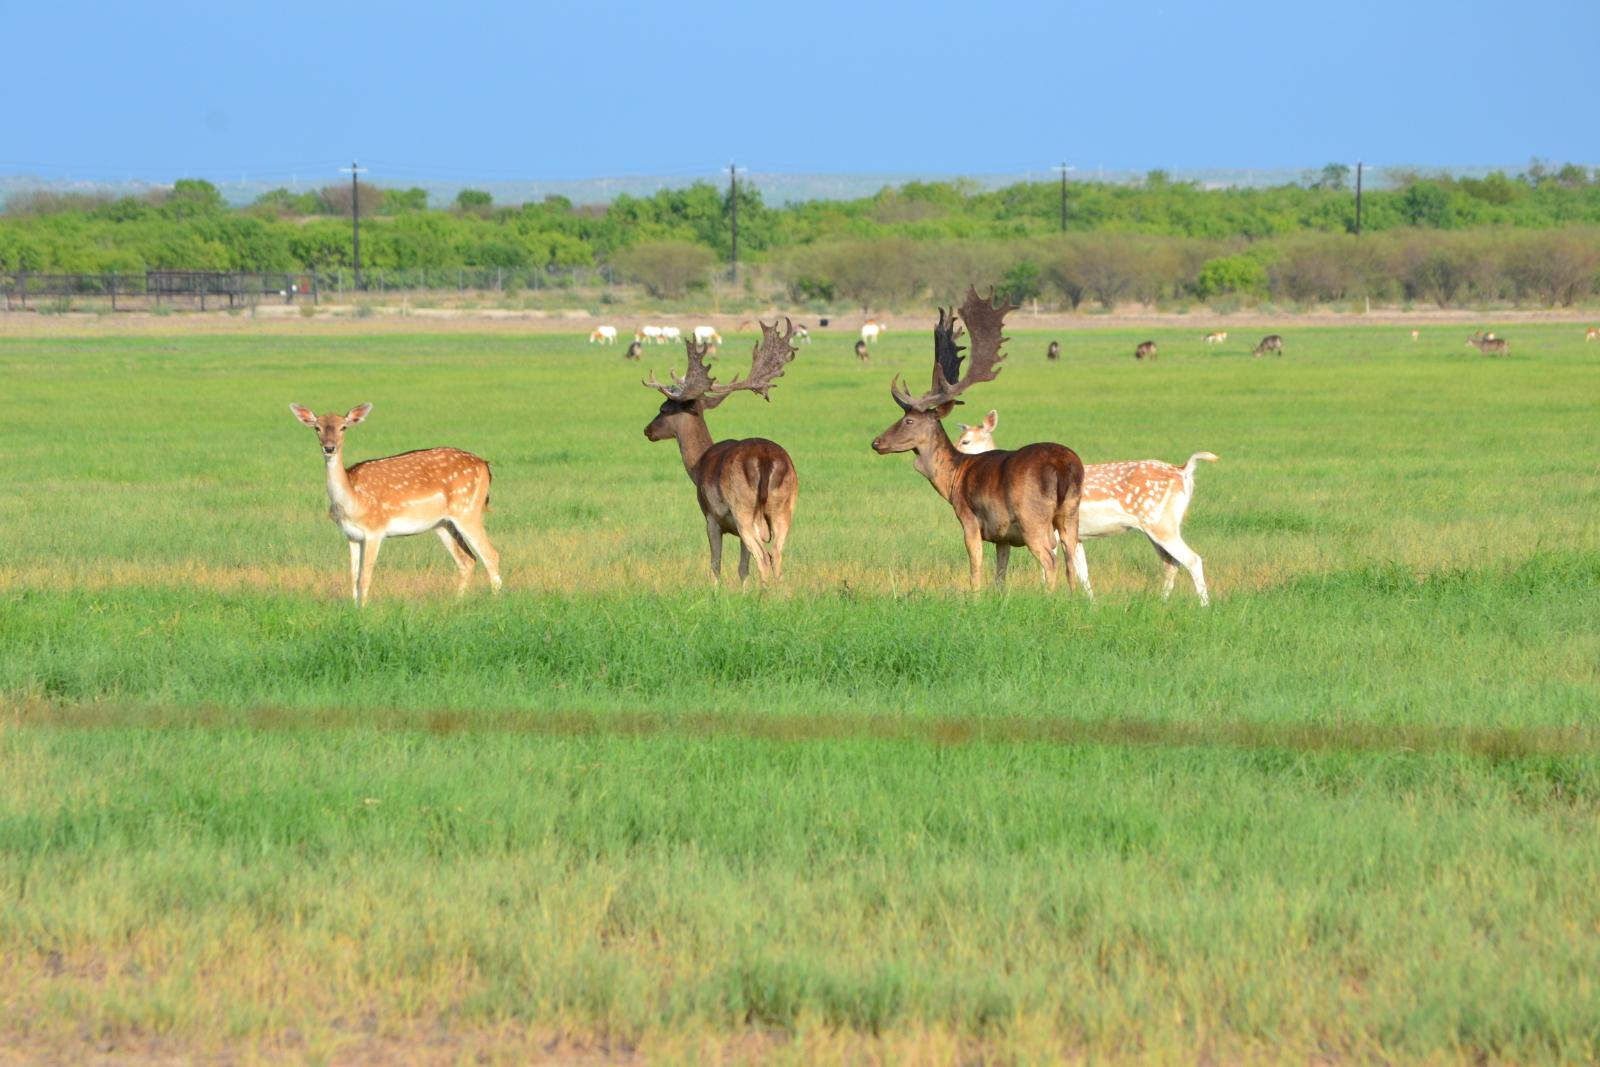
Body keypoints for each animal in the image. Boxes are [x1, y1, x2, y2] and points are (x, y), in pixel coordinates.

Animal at [288, 403, 501, 606]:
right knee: (467, 560)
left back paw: (495, 601)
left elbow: (365, 577)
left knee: (491, 555)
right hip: (443, 523)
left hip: (468, 510)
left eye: (343, 427)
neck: (351, 500)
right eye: (317, 427)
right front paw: (354, 608)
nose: (329, 447)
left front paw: (364, 610)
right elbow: (353, 577)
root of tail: (485, 465)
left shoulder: (375, 530)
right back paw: (457, 602)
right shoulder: (351, 535)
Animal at [643, 320, 800, 585]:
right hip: (783, 508)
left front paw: (714, 590)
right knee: (777, 555)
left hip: (742, 509)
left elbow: (715, 564)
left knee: (764, 557)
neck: (697, 465)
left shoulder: (710, 517)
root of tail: (765, 460)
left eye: (663, 409)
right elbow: (742, 567)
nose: (647, 430)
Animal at [871, 287, 1085, 592]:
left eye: (908, 420)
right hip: (1070, 511)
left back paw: (1050, 597)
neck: (953, 478)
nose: (876, 442)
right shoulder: (1003, 536)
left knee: (1050, 559)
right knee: (1070, 557)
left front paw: (973, 596)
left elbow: (975, 568)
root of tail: (1063, 467)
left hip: (1032, 517)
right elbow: (1000, 574)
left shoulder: (969, 518)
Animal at [954, 410, 1217, 605]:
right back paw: (1161, 602)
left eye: (966, 440)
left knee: (1192, 559)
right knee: (1171, 563)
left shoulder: (1051, 531)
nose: (957, 457)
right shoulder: (1076, 536)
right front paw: (1090, 604)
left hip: (1161, 522)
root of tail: (1184, 472)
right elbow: (1082, 572)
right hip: (1156, 526)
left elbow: (1050, 568)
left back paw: (1204, 607)